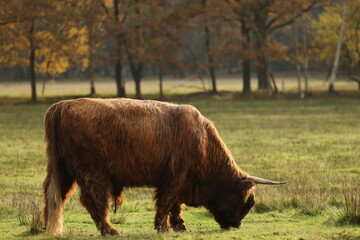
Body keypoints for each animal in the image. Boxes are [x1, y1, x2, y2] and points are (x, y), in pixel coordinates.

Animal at [40, 98, 286, 236]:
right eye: (245, 202)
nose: (235, 225)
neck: (203, 142)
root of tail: (61, 106)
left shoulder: (179, 180)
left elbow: (175, 205)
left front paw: (179, 226)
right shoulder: (174, 176)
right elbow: (166, 201)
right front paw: (163, 228)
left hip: (63, 170)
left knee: (54, 196)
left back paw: (46, 226)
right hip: (93, 172)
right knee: (93, 201)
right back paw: (110, 230)